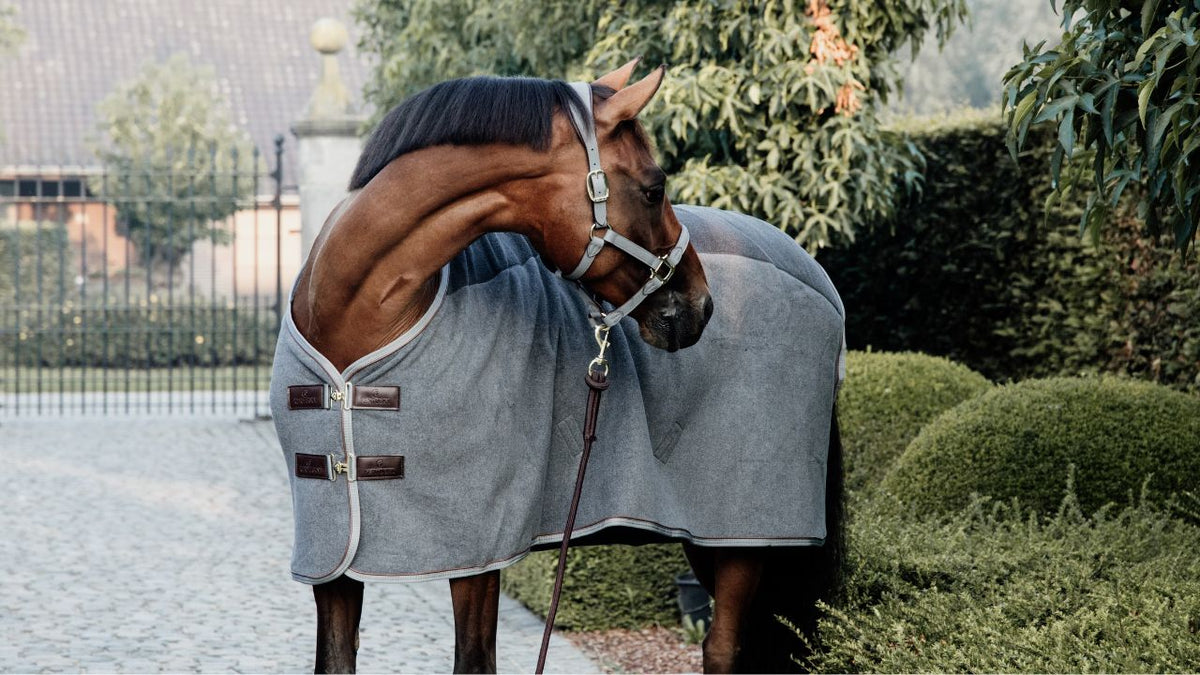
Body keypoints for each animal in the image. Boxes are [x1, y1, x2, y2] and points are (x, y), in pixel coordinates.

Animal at [270, 59, 845, 673]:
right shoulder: (332, 559)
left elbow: (474, 659)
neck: (353, 318)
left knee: (722, 647)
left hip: (745, 533)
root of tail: (819, 281)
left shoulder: (480, 550)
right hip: (712, 538)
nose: (699, 306)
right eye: (654, 188)